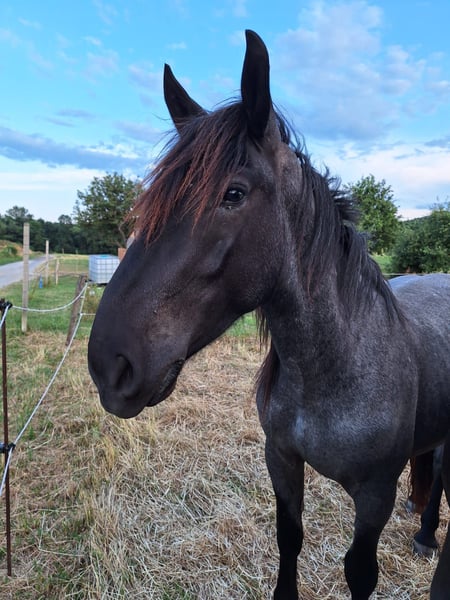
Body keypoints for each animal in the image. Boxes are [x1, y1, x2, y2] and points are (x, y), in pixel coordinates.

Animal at [88, 30, 450, 599]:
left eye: (233, 194)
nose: (109, 364)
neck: (334, 367)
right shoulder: (280, 459)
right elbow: (288, 540)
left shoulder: (374, 496)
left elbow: (360, 572)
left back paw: (428, 534)